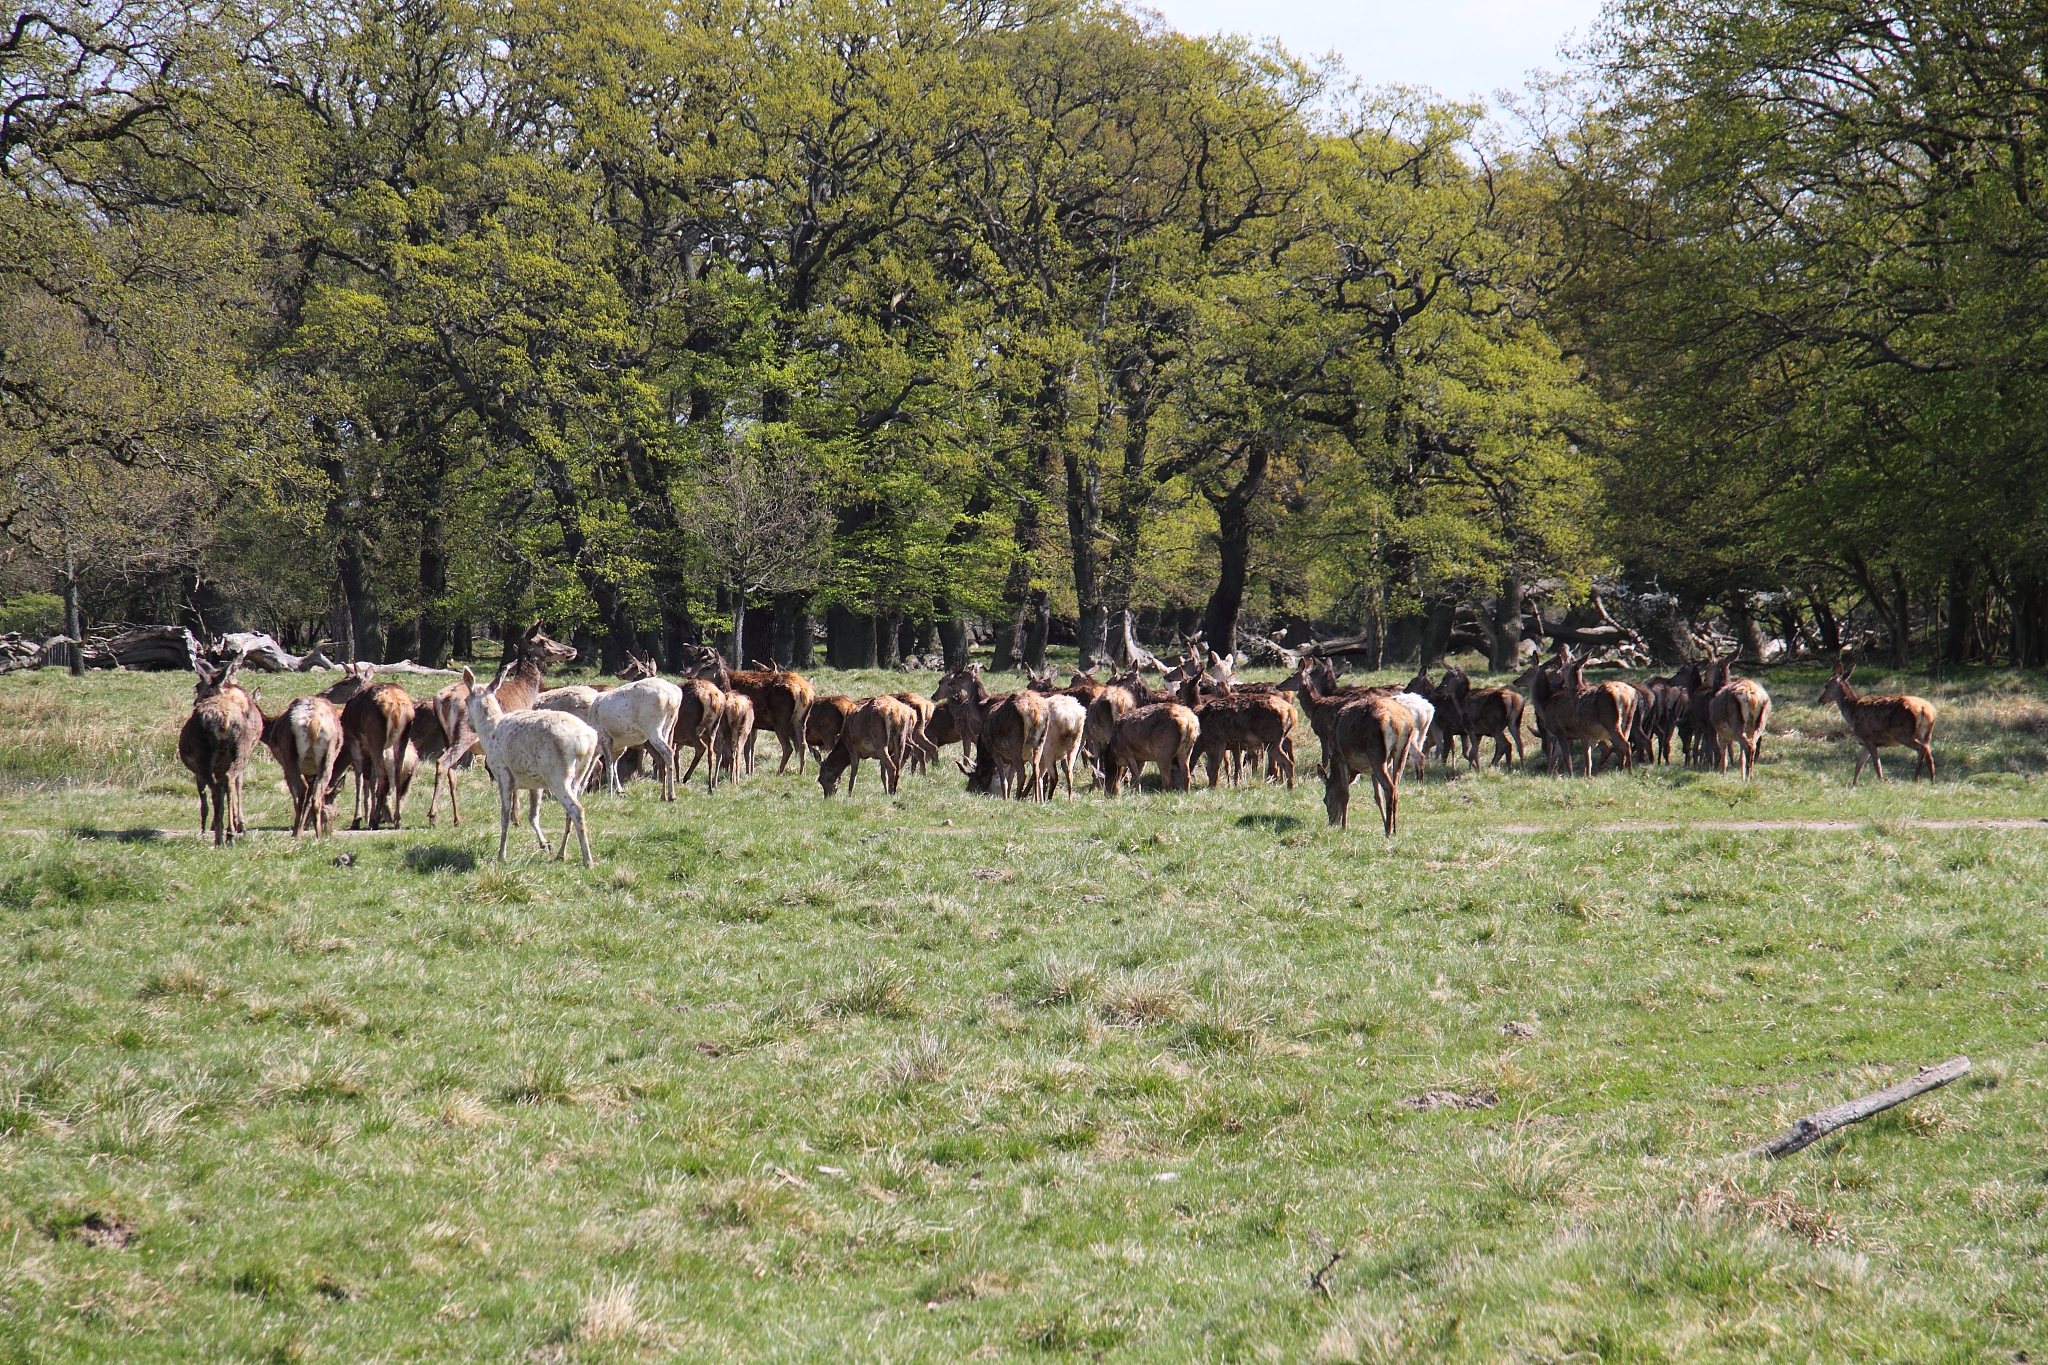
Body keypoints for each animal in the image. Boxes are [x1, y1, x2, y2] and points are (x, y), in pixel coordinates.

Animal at [178, 656, 264, 845]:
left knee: (217, 790)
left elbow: (204, 800)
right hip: (239, 752)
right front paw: (238, 825)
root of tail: (223, 720)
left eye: (197, 686)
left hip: (204, 759)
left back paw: (219, 836)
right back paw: (230, 833)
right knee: (230, 780)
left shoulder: (198, 772)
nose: (196, 701)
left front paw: (203, 830)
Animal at [259, 695, 344, 838]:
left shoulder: (285, 768)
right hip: (328, 758)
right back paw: (318, 836)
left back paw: (296, 833)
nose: (329, 834)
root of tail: (313, 722)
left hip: (291, 756)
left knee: (301, 790)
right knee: (316, 796)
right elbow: (310, 797)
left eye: (337, 815)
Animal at [462, 666, 601, 865]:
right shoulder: (535, 784)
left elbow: (505, 816)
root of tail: (584, 740)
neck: (490, 734)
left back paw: (587, 860)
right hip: (580, 773)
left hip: (557, 773)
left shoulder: (503, 773)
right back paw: (561, 853)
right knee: (570, 810)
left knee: (577, 809)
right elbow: (533, 816)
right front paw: (546, 845)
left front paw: (501, 855)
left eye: (466, 700)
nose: (469, 724)